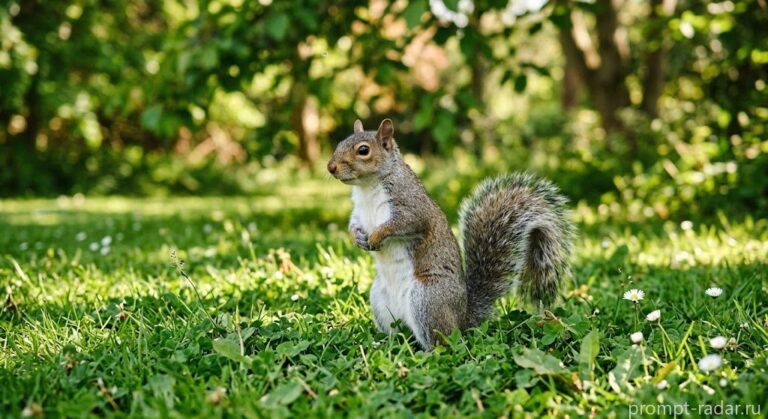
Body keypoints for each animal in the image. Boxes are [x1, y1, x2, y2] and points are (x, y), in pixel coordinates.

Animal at [327, 118, 575, 350]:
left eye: (363, 150)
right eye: (339, 143)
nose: (331, 167)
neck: (367, 187)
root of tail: (462, 318)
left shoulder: (412, 207)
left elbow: (402, 224)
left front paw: (377, 236)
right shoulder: (358, 213)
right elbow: (353, 224)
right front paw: (357, 238)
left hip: (427, 299)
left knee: (441, 342)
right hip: (380, 299)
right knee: (398, 333)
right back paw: (385, 344)